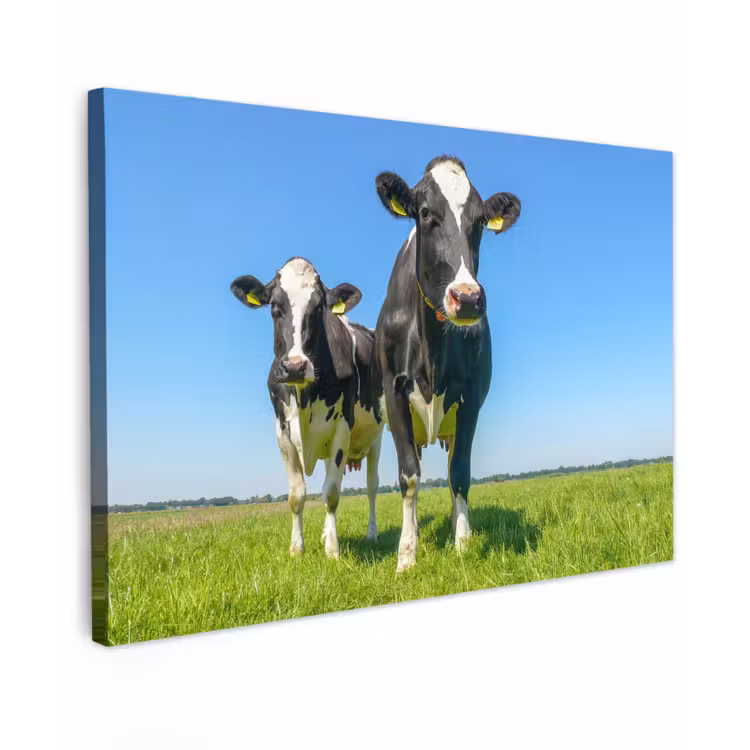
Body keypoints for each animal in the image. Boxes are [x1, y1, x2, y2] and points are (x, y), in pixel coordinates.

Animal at [230, 257, 385, 559]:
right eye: (274, 307)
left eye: (319, 308)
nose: (294, 367)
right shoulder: (282, 432)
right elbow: (296, 495)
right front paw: (296, 548)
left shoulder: (342, 428)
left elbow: (332, 492)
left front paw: (333, 550)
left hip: (377, 437)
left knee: (372, 487)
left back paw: (371, 534)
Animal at [373, 155, 521, 572]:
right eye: (425, 213)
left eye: (480, 221)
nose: (467, 298)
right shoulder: (394, 393)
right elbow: (408, 475)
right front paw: (407, 555)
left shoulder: (470, 399)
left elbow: (460, 473)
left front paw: (463, 544)